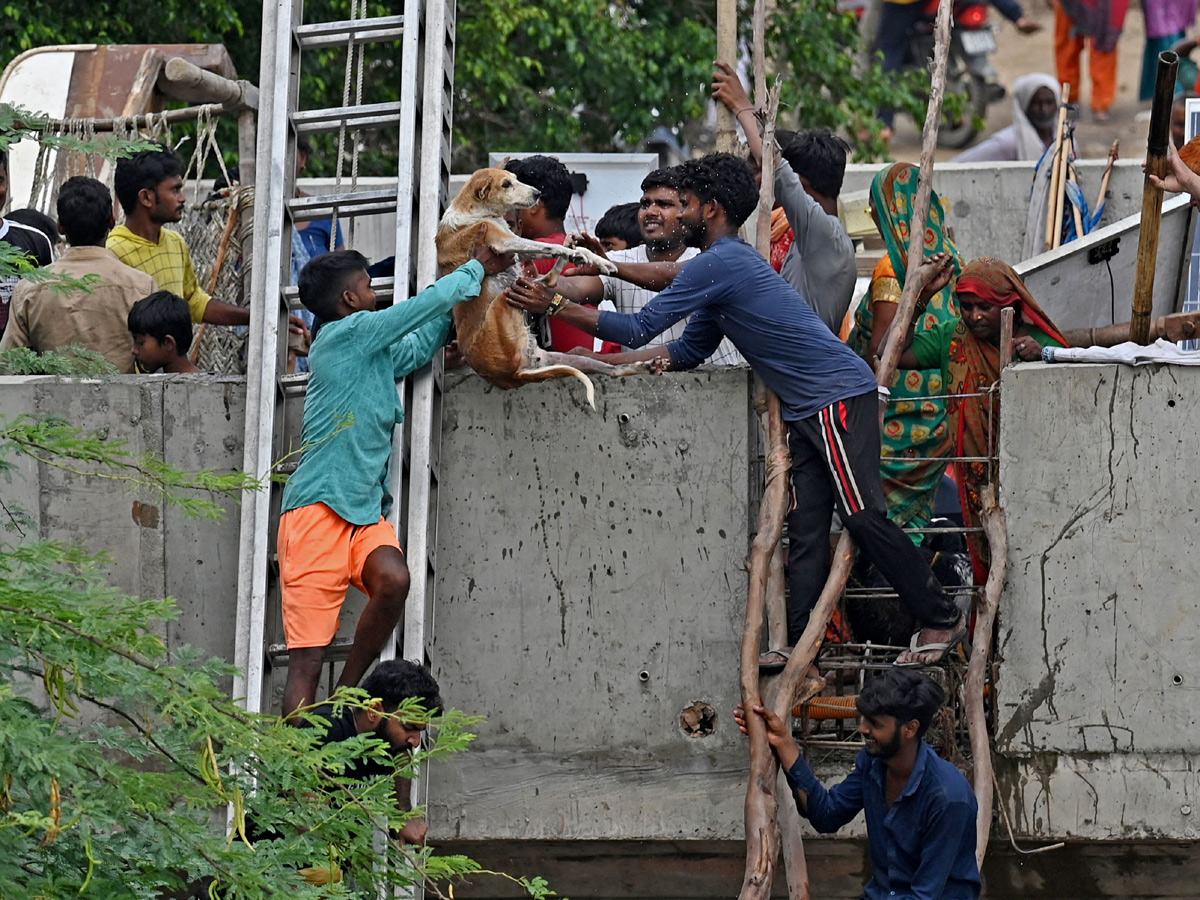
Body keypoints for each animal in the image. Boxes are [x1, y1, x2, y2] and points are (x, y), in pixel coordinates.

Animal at [436, 165, 652, 408]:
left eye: (515, 179)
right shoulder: (505, 242)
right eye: (506, 185)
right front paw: (576, 253)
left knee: (613, 370)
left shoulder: (516, 248)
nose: (537, 194)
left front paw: (596, 258)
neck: (477, 212)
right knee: (548, 280)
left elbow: (554, 247)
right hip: (507, 295)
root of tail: (515, 375)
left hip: (563, 354)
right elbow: (549, 246)